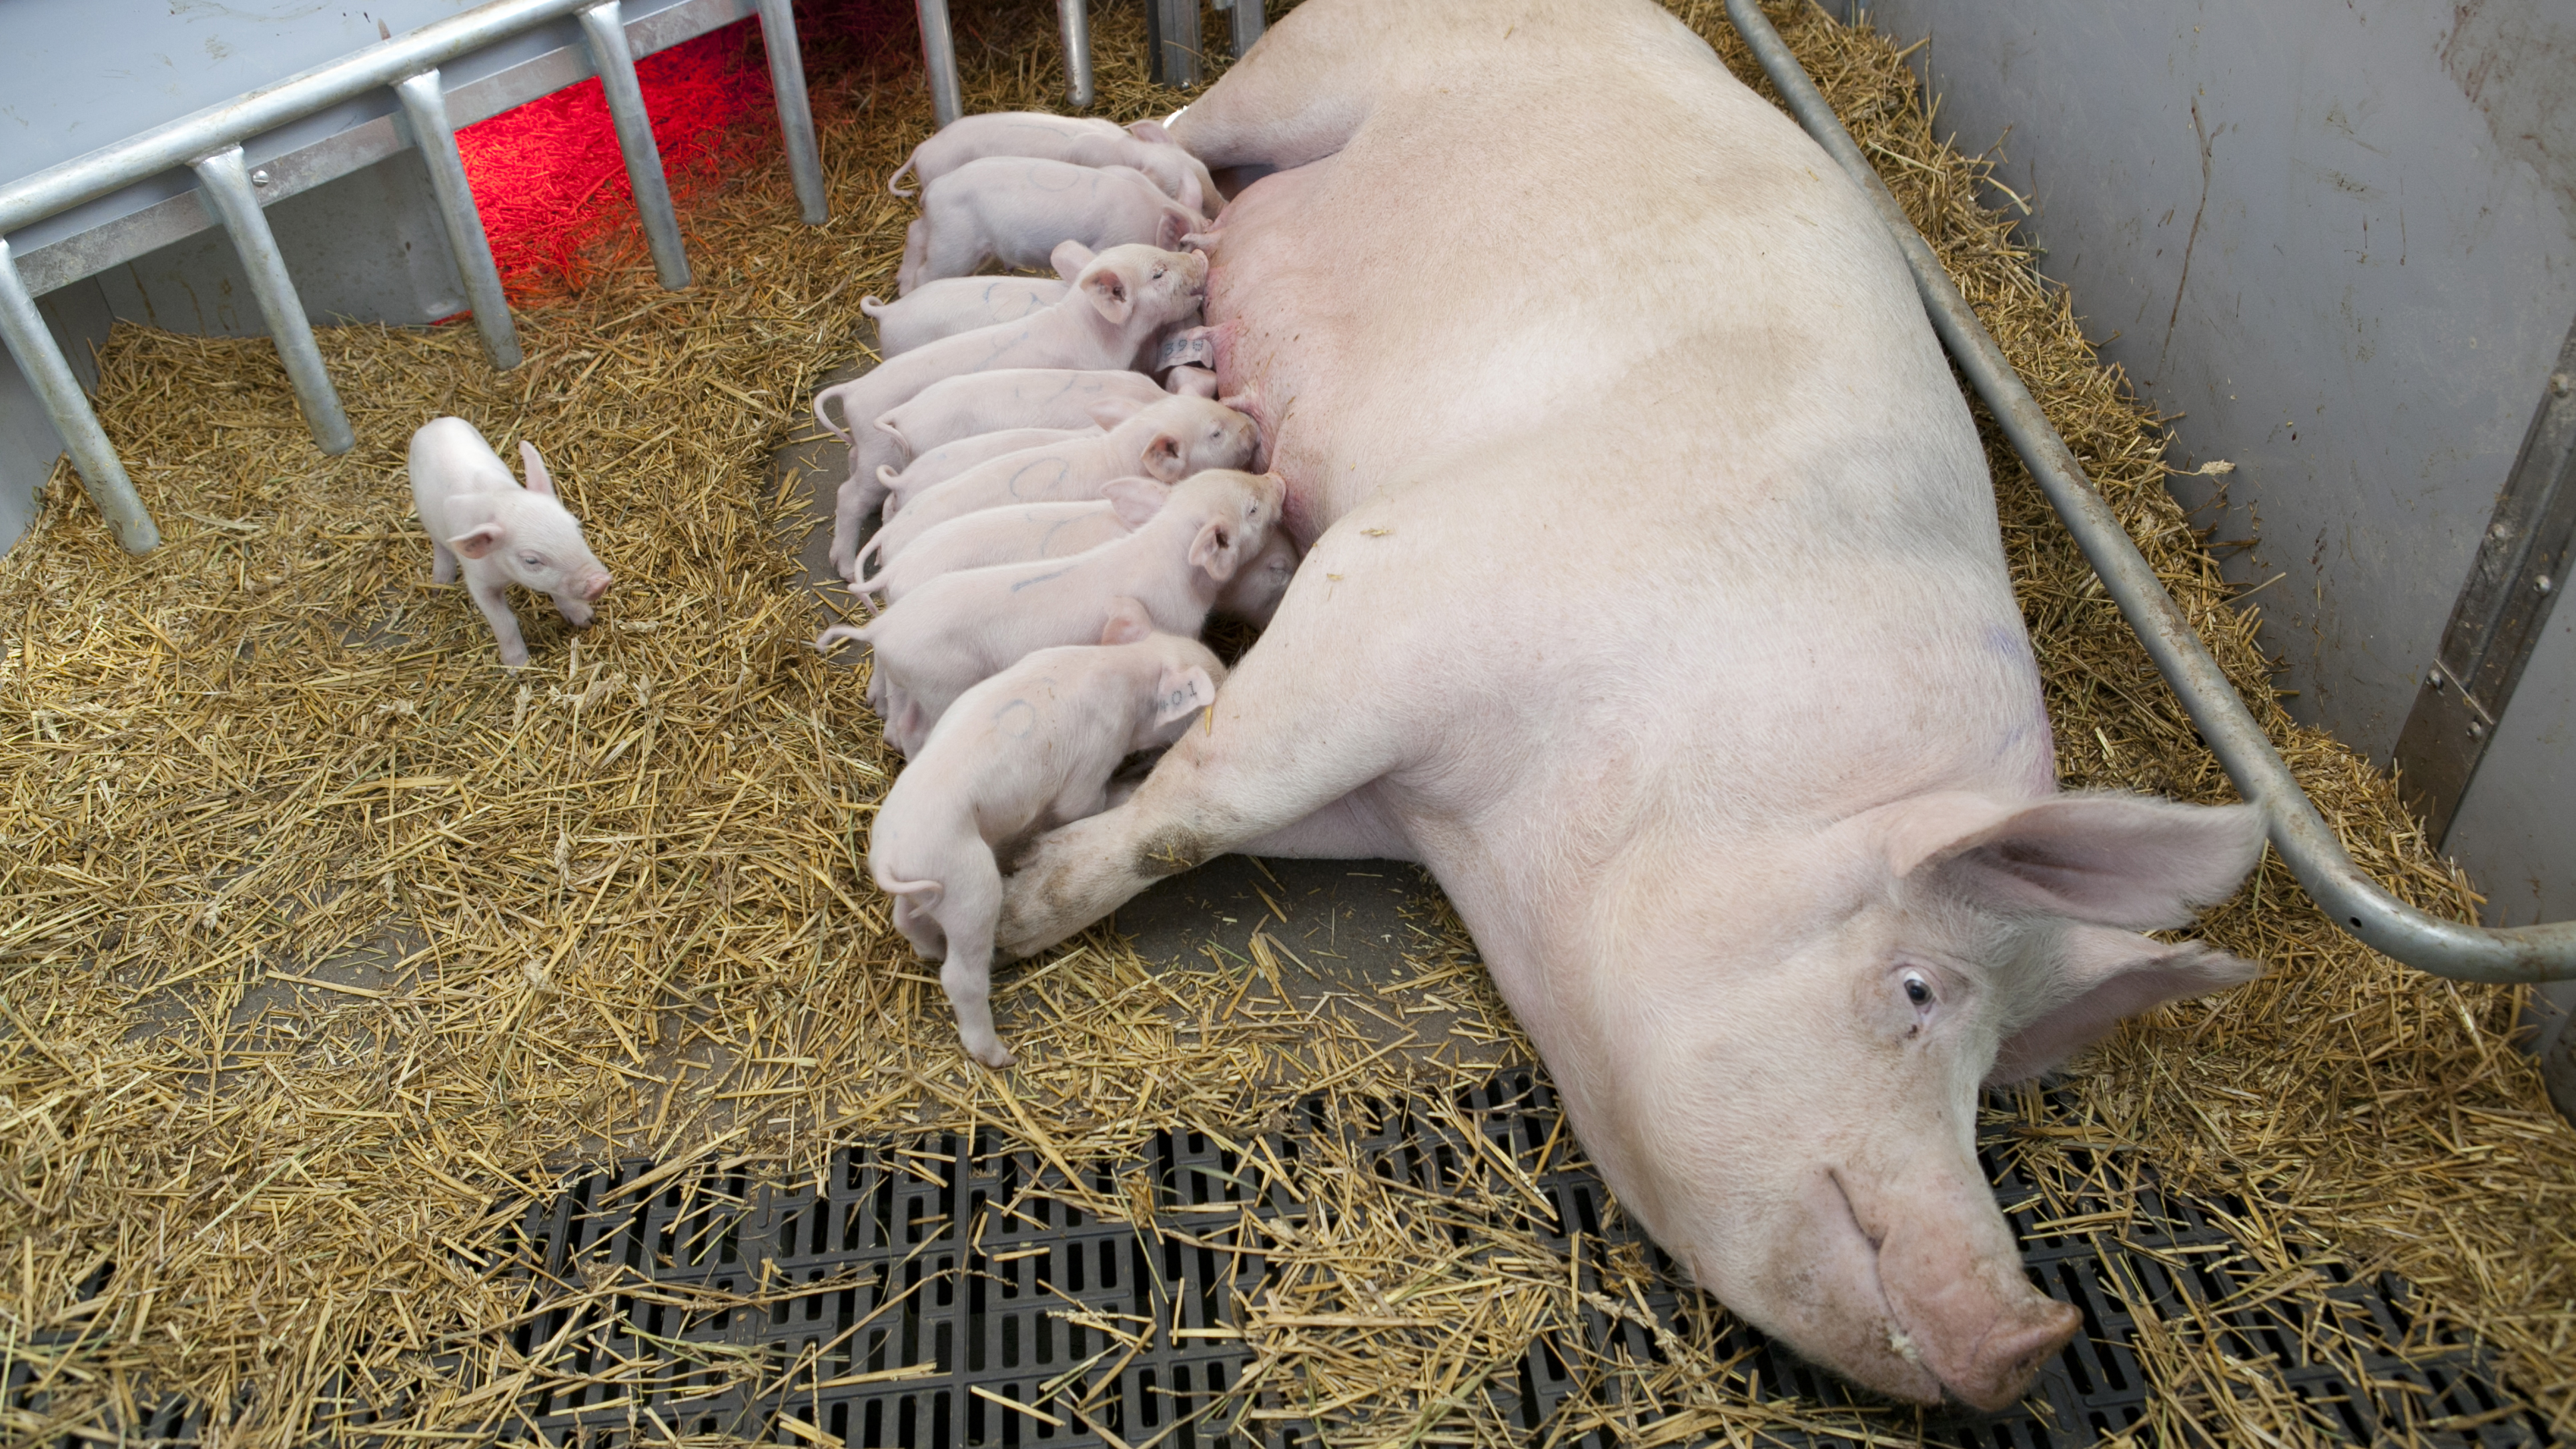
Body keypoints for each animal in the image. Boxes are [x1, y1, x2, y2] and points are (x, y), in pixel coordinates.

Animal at [407, 416, 611, 670]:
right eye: (531, 560)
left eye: (577, 527)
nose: (600, 582)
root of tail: (434, 423)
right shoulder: (479, 581)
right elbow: (504, 621)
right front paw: (517, 667)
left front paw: (587, 620)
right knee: (439, 544)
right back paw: (440, 586)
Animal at [819, 469, 1282, 755]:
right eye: (1252, 508)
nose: (1277, 478)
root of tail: (881, 629)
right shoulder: (1173, 624)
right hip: (940, 682)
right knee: (913, 728)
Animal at [870, 619, 1225, 1066]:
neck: (1128, 668)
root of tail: (892, 858)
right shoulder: (1095, 757)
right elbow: (1085, 804)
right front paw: (1133, 781)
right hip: (970, 887)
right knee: (960, 976)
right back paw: (1000, 1056)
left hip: (922, 889)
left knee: (906, 921)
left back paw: (931, 949)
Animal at [896, 158, 1204, 296]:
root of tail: (933, 191)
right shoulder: (1113, 240)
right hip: (954, 245)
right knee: (927, 272)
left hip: (940, 232)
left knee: (914, 230)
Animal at [981, 0, 2270, 1412]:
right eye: (1920, 989)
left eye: (1996, 1070)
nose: (2029, 1336)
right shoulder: (1397, 584)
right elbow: (1202, 807)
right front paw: (1018, 904)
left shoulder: (1390, 798)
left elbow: (1224, 810)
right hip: (1303, 73)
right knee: (1172, 127)